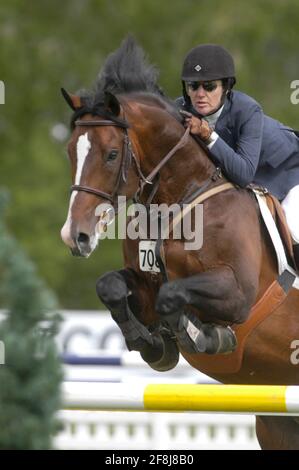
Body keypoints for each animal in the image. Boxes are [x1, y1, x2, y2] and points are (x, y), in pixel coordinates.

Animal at [60, 35, 299, 448]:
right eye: (70, 151)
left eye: (111, 154)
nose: (76, 237)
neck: (181, 198)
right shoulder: (141, 281)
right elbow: (111, 286)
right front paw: (153, 345)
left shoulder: (238, 294)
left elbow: (173, 295)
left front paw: (206, 337)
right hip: (278, 424)